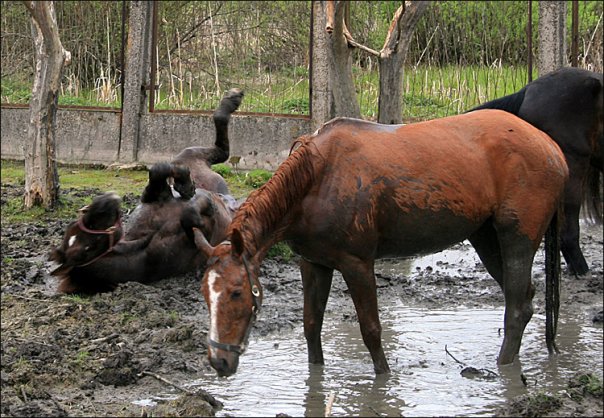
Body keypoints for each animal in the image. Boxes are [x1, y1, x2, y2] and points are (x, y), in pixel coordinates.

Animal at [49, 88, 243, 294]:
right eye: (87, 247)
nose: (106, 199)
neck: (145, 241)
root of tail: (230, 198)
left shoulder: (153, 195)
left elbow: (158, 171)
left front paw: (185, 185)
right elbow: (193, 212)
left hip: (190, 155)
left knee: (215, 145)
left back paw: (231, 99)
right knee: (222, 151)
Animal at [182, 109, 568, 378]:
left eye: (236, 292)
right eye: (205, 294)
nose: (219, 361)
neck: (316, 180)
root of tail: (553, 149)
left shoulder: (357, 264)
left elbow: (371, 331)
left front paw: (383, 379)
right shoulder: (314, 263)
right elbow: (311, 326)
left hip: (516, 237)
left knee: (516, 307)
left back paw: (502, 368)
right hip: (485, 236)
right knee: (525, 301)